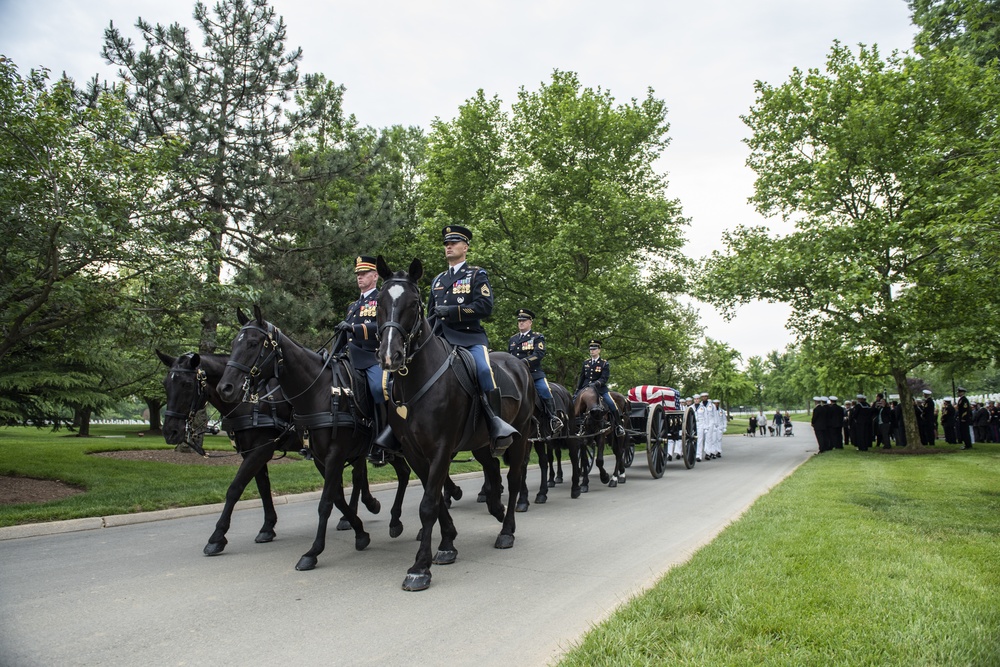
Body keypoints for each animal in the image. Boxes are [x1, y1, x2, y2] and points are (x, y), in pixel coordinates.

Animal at [217, 310, 416, 576]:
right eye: (232, 344)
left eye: (252, 344)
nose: (225, 388)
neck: (319, 391)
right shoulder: (320, 458)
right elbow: (337, 497)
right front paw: (360, 532)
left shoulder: (332, 454)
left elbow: (325, 503)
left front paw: (312, 552)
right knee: (402, 473)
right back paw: (393, 519)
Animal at [374, 258, 536, 592]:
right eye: (380, 302)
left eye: (414, 304)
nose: (390, 355)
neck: (418, 378)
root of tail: (520, 365)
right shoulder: (414, 451)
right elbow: (436, 500)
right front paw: (447, 543)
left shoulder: (440, 447)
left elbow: (428, 504)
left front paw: (419, 568)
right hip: (482, 442)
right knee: (492, 470)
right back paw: (496, 509)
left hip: (521, 436)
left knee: (514, 480)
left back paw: (507, 530)